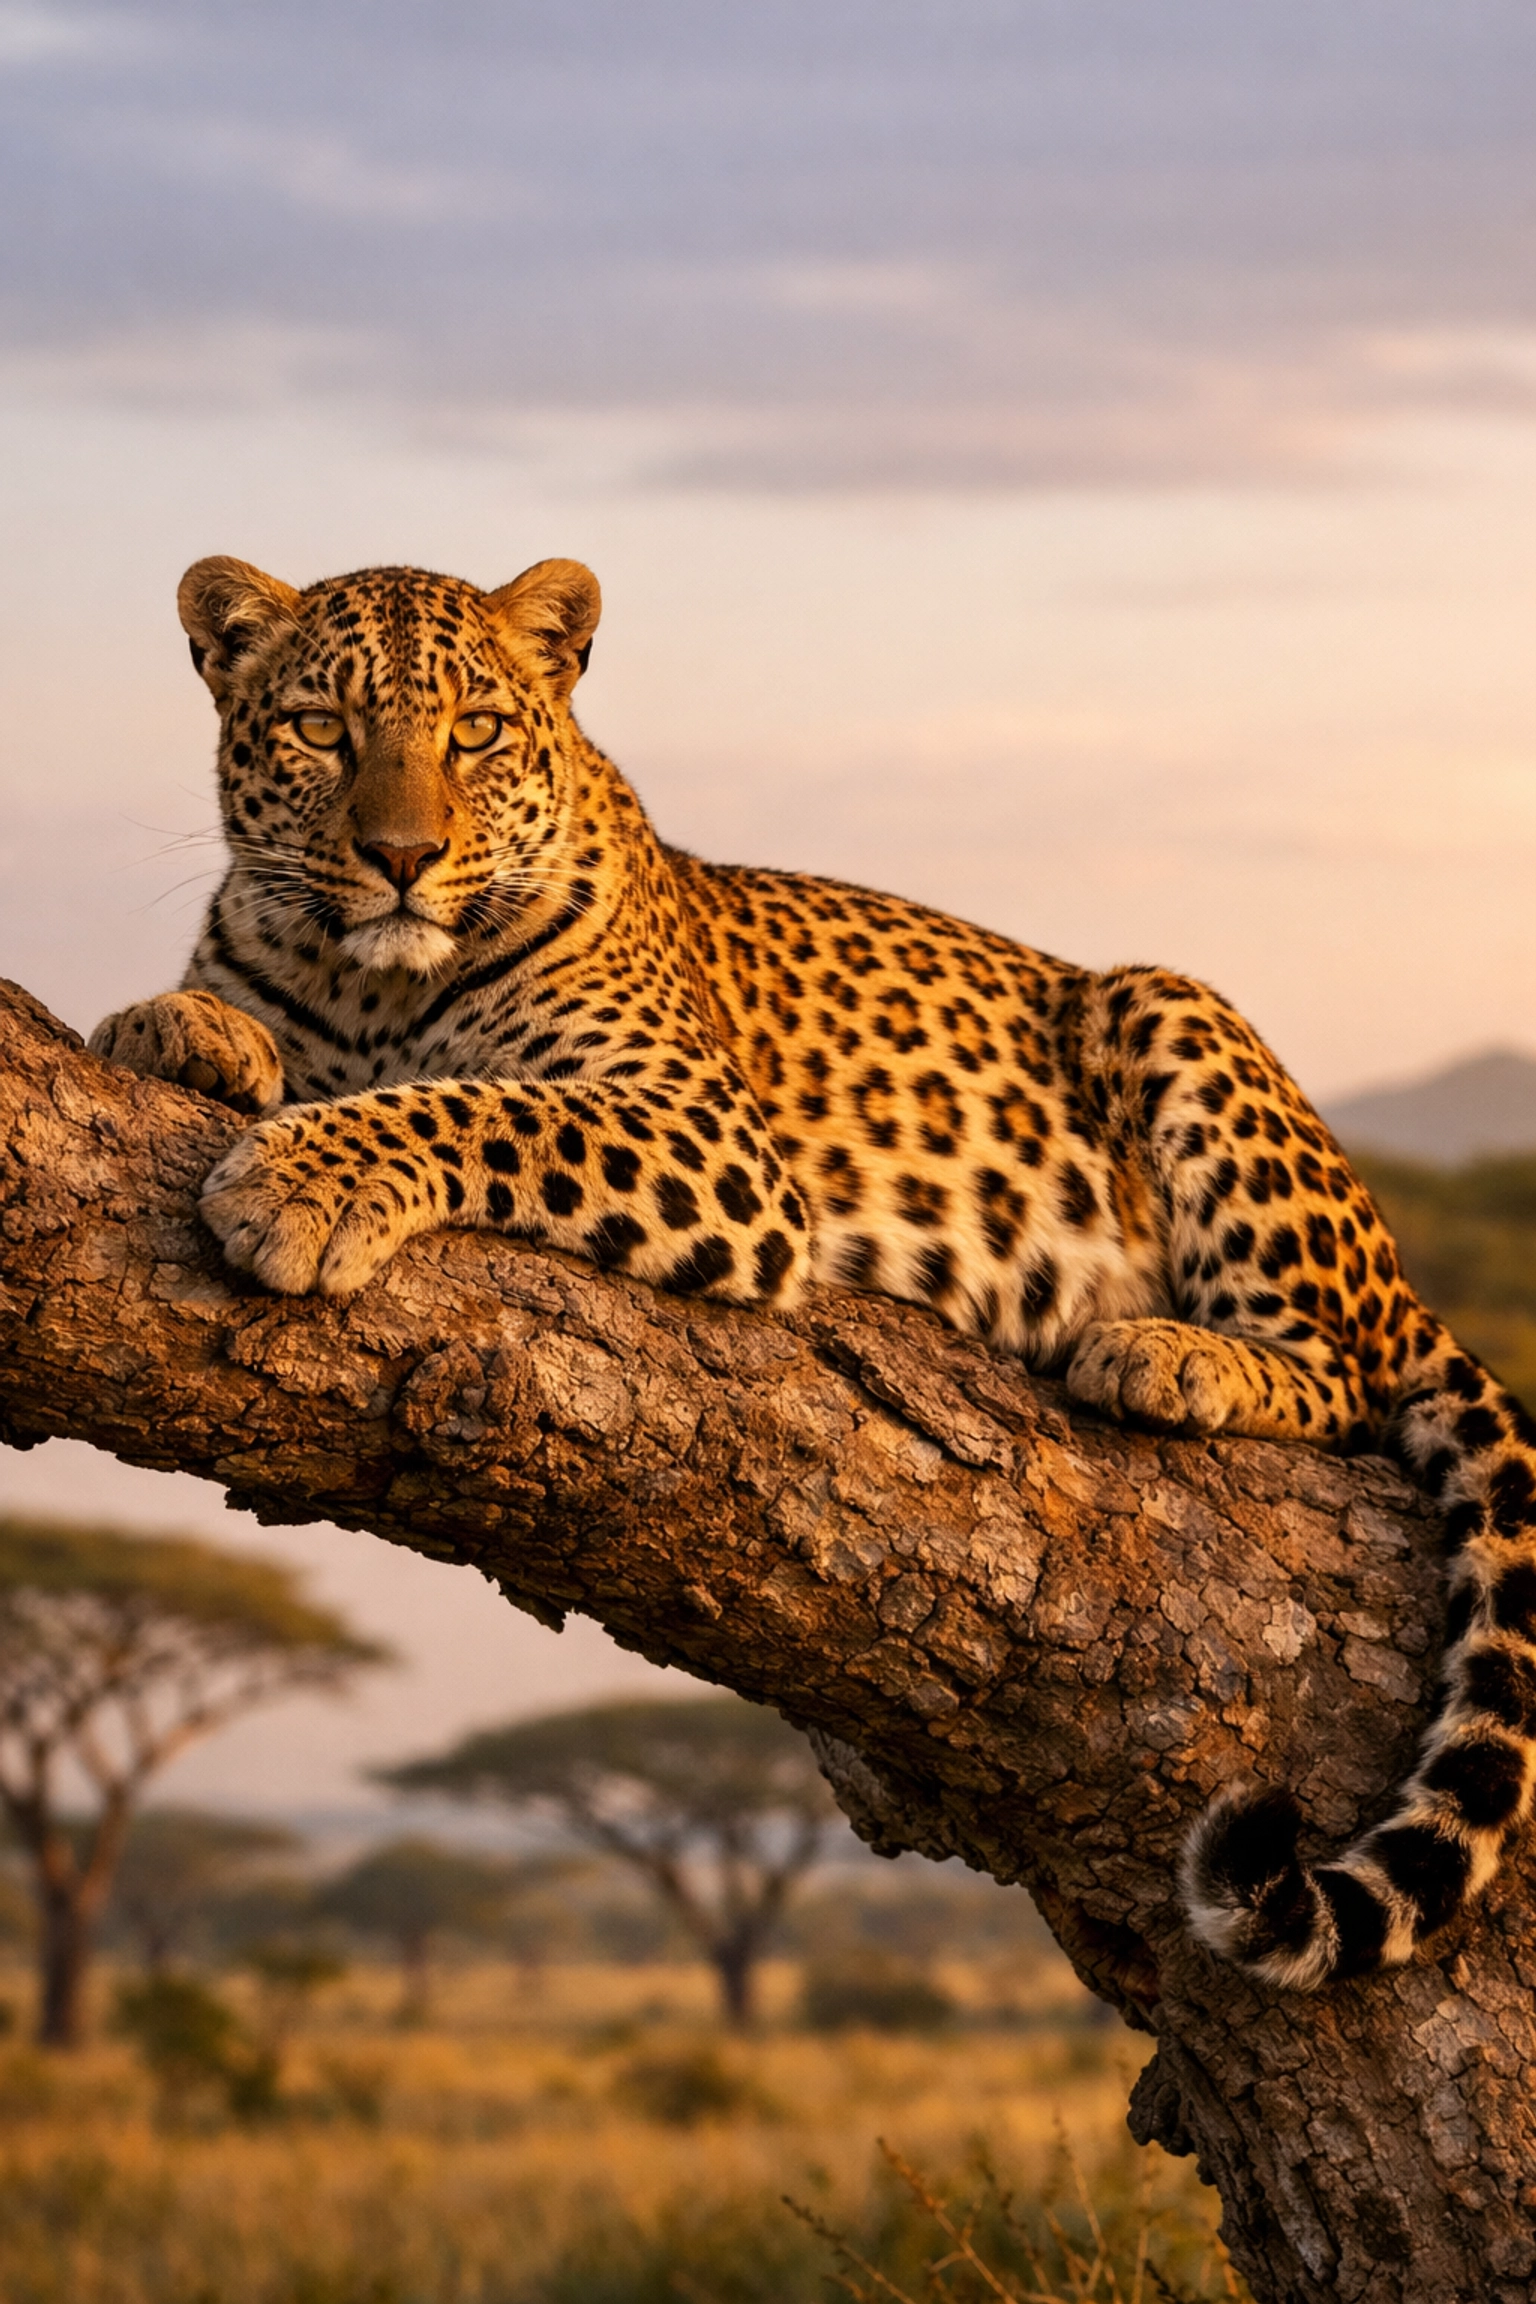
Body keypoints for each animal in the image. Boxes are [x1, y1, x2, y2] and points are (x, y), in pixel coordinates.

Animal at [89, 550, 1536, 1992]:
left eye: (477, 733)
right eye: (320, 729)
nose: (401, 858)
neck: (373, 991)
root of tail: (1403, 1274)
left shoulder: (700, 1131)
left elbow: (484, 1107)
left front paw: (303, 1177)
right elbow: (216, 1017)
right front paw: (174, 1028)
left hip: (1163, 1005)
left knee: (1342, 1374)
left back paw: (1166, 1352)